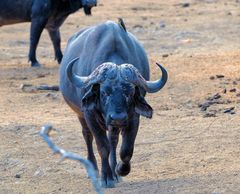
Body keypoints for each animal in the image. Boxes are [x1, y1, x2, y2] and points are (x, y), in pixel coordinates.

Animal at [59, 19, 168, 188]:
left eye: (129, 93)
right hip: (81, 114)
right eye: (104, 92)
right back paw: (93, 168)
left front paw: (120, 170)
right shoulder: (89, 114)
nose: (118, 117)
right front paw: (106, 177)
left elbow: (126, 149)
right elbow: (102, 146)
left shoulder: (133, 117)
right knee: (87, 136)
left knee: (113, 141)